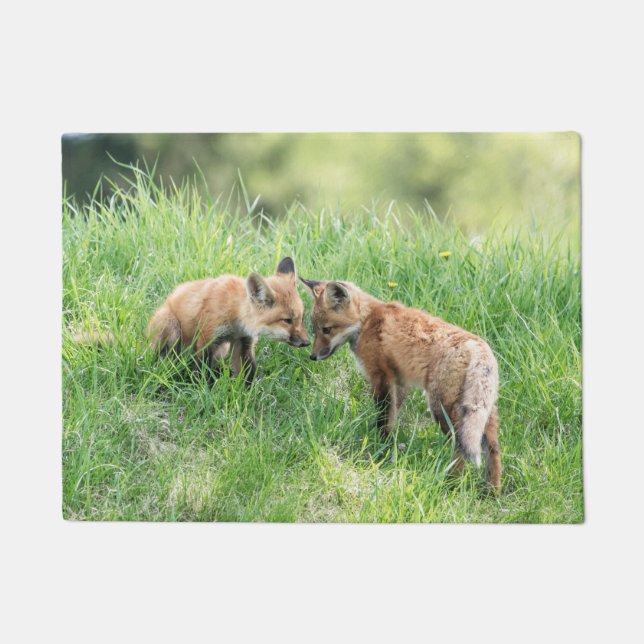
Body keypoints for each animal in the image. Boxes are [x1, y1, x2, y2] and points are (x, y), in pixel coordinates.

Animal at [146, 257, 310, 384]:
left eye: (301, 318)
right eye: (287, 320)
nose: (307, 342)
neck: (234, 312)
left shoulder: (244, 342)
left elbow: (248, 374)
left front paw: (248, 394)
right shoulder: (207, 339)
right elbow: (202, 372)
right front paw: (202, 390)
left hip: (222, 350)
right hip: (170, 327)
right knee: (165, 358)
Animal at [300, 277, 502, 490]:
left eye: (327, 329)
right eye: (314, 330)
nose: (312, 356)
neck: (366, 321)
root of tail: (479, 347)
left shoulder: (381, 377)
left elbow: (383, 418)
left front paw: (380, 448)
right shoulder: (400, 383)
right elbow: (392, 417)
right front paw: (389, 446)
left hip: (441, 407)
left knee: (460, 445)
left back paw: (451, 483)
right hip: (482, 412)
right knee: (493, 449)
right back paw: (492, 490)